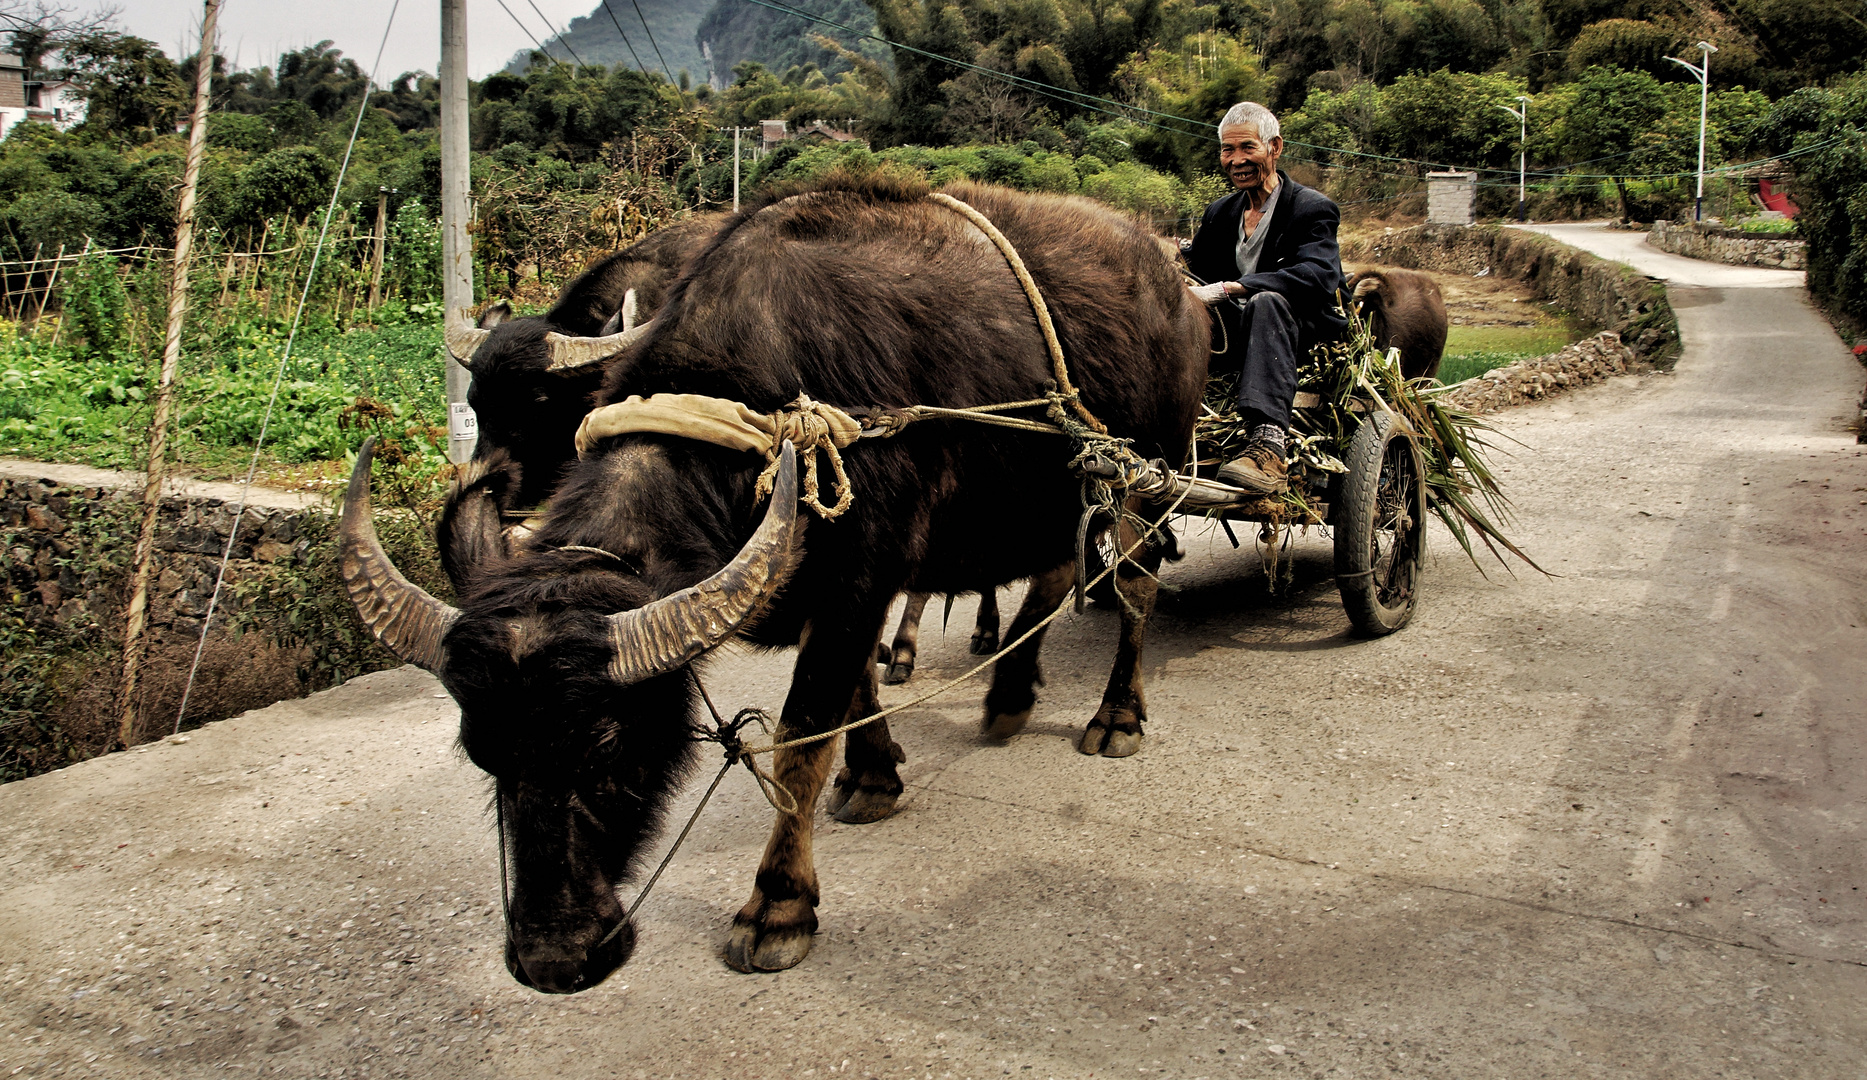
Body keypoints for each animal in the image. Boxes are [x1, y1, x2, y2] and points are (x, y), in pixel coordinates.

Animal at [341, 171, 1202, 986]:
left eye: (613, 745)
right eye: (482, 751)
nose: (556, 958)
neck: (761, 411)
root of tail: (1178, 284)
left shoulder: (859, 576)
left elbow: (801, 735)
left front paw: (777, 907)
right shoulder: (823, 581)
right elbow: (853, 692)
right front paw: (874, 776)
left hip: (1143, 477)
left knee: (1133, 589)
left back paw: (1115, 716)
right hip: (1056, 493)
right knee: (1054, 576)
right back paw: (1008, 697)